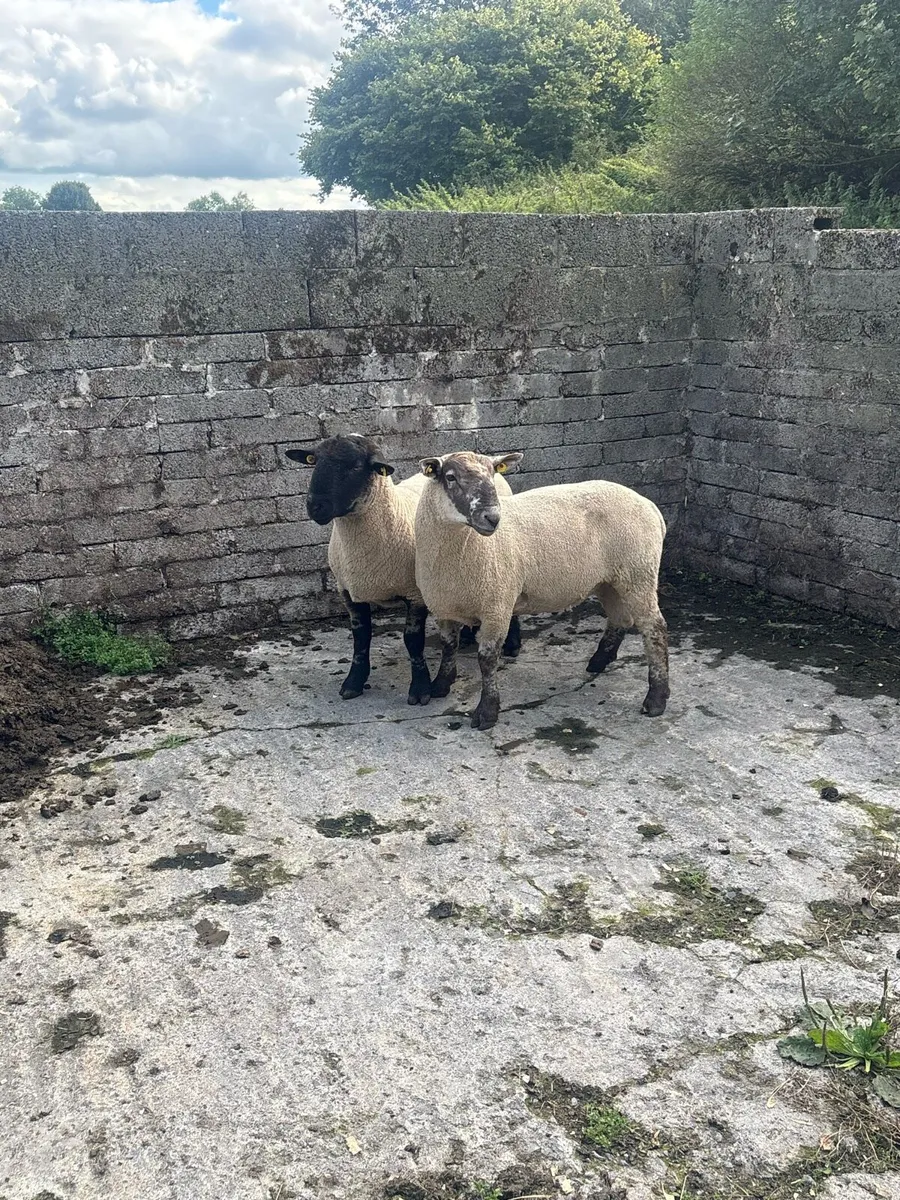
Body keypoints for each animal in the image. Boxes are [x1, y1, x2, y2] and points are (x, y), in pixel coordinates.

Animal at [284, 434, 520, 705]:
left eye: (355, 466)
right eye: (314, 460)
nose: (315, 506)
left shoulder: (415, 594)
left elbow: (413, 640)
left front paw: (420, 688)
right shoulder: (349, 592)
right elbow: (361, 638)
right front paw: (354, 682)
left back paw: (513, 643)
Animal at [414, 450, 670, 731]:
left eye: (493, 474)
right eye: (450, 477)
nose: (493, 518)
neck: (464, 548)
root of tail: (649, 506)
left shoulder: (496, 606)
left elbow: (487, 659)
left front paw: (487, 712)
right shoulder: (443, 606)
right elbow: (449, 646)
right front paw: (440, 685)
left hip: (639, 571)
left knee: (654, 627)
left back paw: (656, 698)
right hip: (611, 579)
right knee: (620, 618)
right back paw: (599, 661)